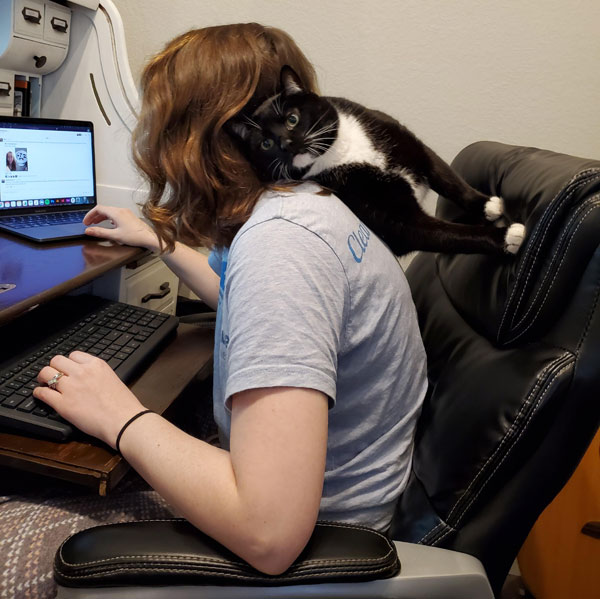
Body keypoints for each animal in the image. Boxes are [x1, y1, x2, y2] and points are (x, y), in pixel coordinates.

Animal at [230, 66, 524, 258]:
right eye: (265, 144)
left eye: (292, 118)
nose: (285, 144)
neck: (340, 151)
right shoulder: (396, 220)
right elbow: (450, 234)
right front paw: (507, 237)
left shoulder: (412, 146)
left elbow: (448, 179)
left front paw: (487, 205)